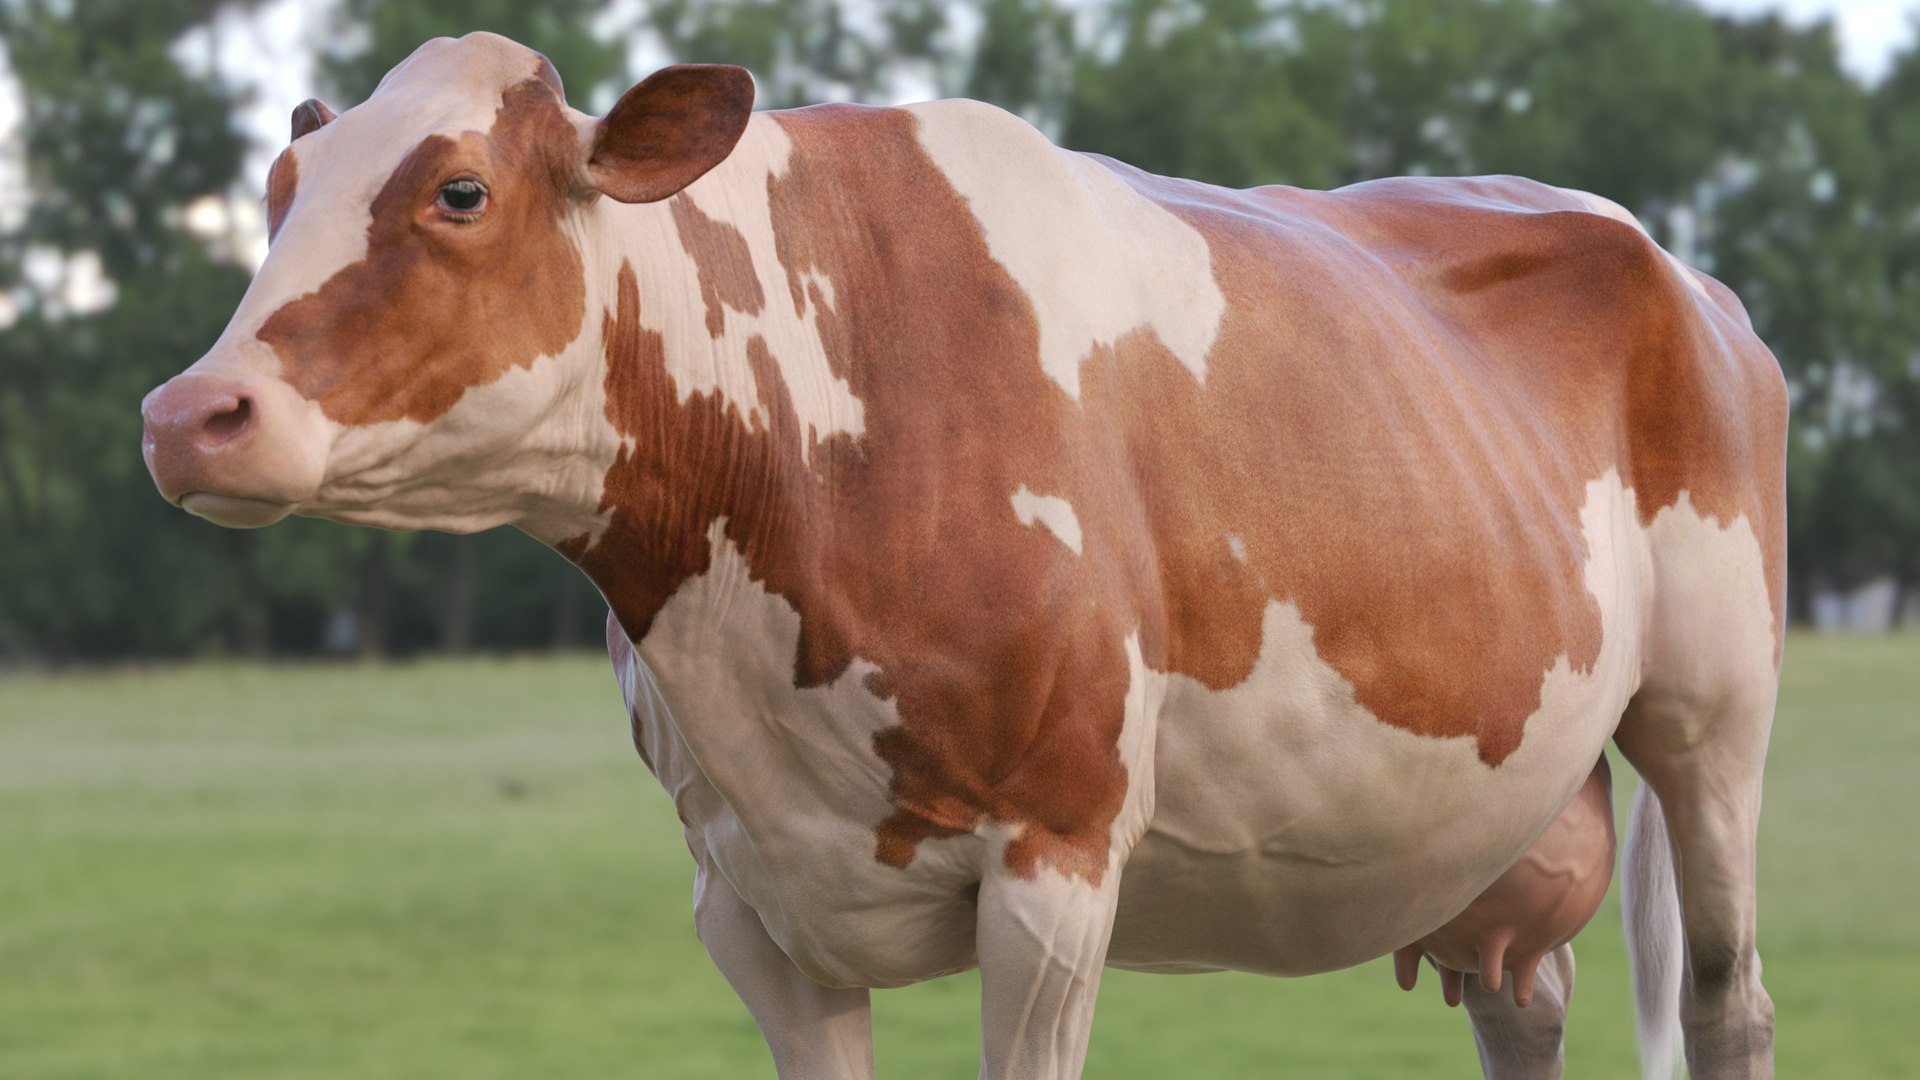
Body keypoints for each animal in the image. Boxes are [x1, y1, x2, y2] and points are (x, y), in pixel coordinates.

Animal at [140, 32, 1785, 1079]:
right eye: (276, 198)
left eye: (460, 190)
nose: (188, 412)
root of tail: (1671, 261)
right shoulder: (750, 899)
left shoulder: (1056, 854)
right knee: (1526, 995)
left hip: (1714, 718)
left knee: (1727, 1003)